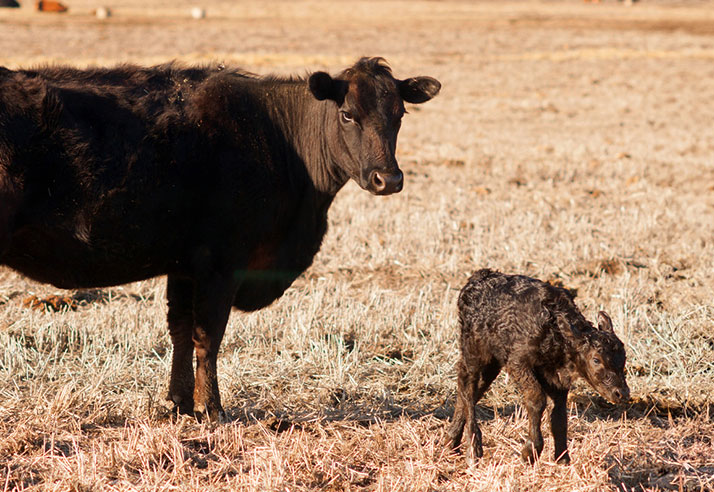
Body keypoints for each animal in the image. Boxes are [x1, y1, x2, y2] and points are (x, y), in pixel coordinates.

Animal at [0, 56, 440, 418]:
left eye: (400, 114)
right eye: (347, 114)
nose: (389, 179)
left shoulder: (183, 265)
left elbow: (180, 330)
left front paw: (178, 404)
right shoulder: (221, 263)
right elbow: (208, 336)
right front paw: (212, 409)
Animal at [448, 270, 624, 466]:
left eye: (624, 358)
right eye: (596, 359)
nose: (622, 393)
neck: (555, 333)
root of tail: (478, 277)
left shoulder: (557, 381)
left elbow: (559, 418)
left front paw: (563, 458)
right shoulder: (518, 362)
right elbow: (536, 399)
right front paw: (530, 451)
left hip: (492, 363)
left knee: (471, 391)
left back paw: (451, 441)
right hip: (474, 352)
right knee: (467, 386)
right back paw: (474, 450)